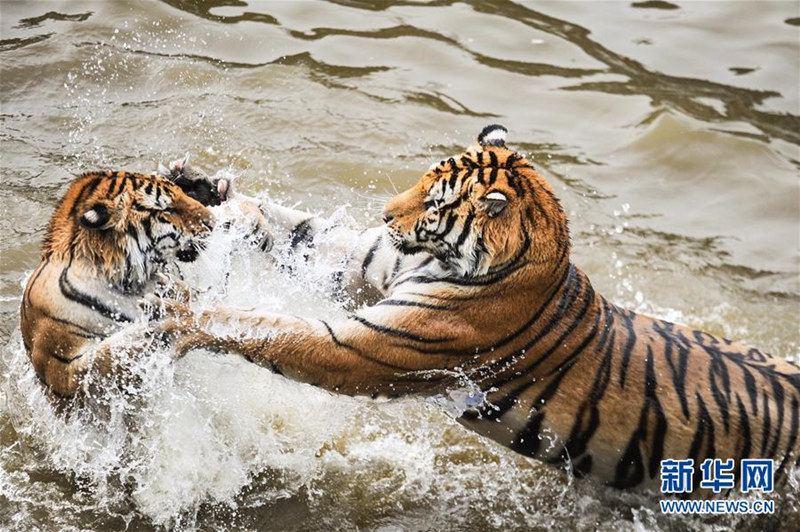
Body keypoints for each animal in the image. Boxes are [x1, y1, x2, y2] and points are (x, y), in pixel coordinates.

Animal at [154, 125, 800, 493]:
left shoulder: (369, 347)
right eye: (421, 180)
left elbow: (269, 327)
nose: (385, 215)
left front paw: (179, 319)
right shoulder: (364, 266)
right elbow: (295, 229)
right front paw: (205, 192)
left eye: (434, 202)